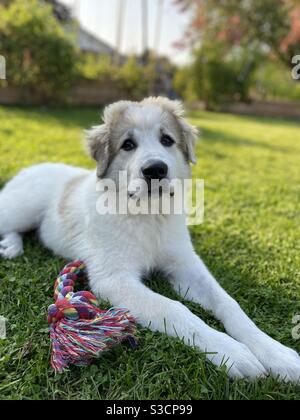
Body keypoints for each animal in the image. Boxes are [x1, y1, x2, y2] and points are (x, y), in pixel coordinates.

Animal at [0, 97, 300, 380]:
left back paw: (11, 246)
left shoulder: (185, 265)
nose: (155, 169)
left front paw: (276, 353)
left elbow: (228, 302)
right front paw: (232, 352)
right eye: (127, 144)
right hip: (21, 208)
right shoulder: (114, 279)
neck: (149, 214)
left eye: (167, 140)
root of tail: (32, 168)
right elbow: (174, 308)